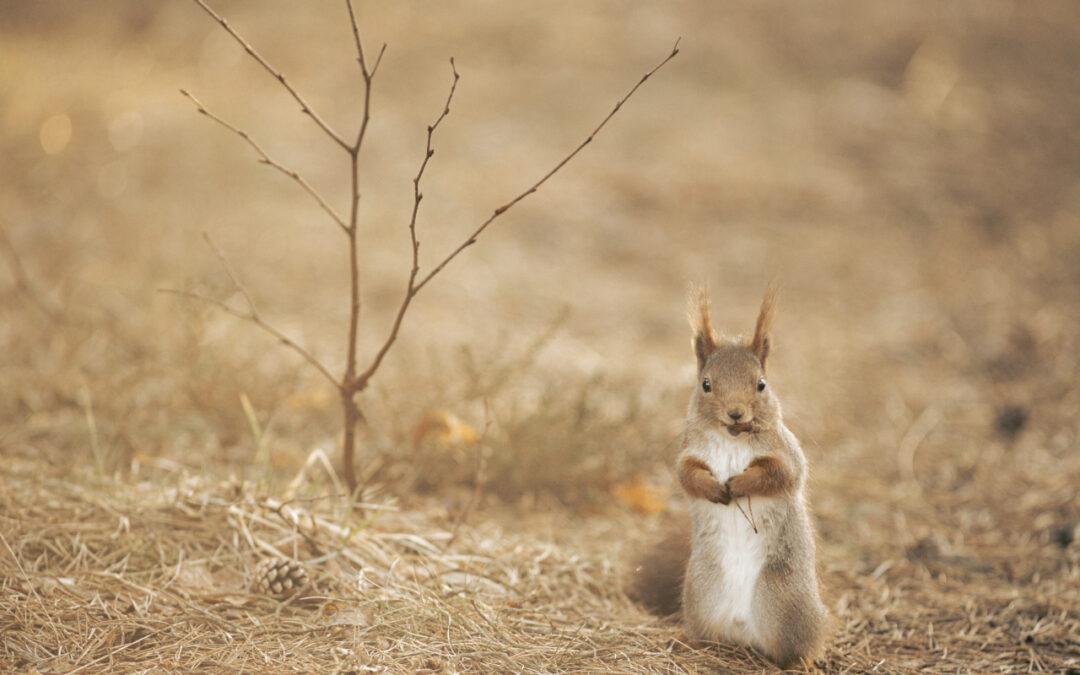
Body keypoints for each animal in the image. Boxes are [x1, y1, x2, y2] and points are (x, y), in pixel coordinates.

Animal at [630, 285, 829, 669]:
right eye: (706, 384)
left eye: (762, 385)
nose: (736, 413)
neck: (732, 437)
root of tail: (744, 632)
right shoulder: (688, 453)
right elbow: (687, 476)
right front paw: (714, 488)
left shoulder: (786, 453)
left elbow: (781, 475)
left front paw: (739, 483)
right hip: (701, 594)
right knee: (705, 634)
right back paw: (687, 642)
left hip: (787, 602)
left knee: (798, 647)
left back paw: (802, 664)